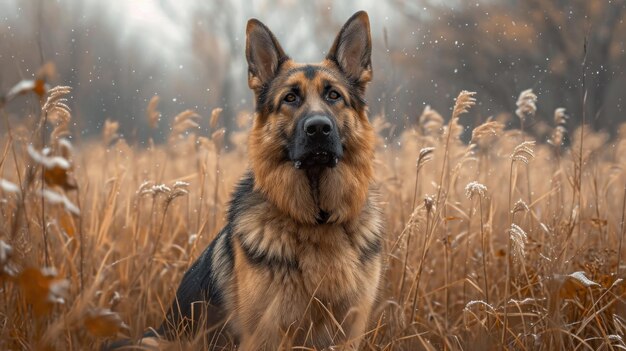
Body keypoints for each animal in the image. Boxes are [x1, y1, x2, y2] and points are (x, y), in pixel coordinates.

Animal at [112, 9, 382, 350]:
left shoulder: (348, 334)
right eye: (290, 98)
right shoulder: (266, 335)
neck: (317, 218)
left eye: (334, 95)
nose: (319, 128)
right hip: (152, 341)